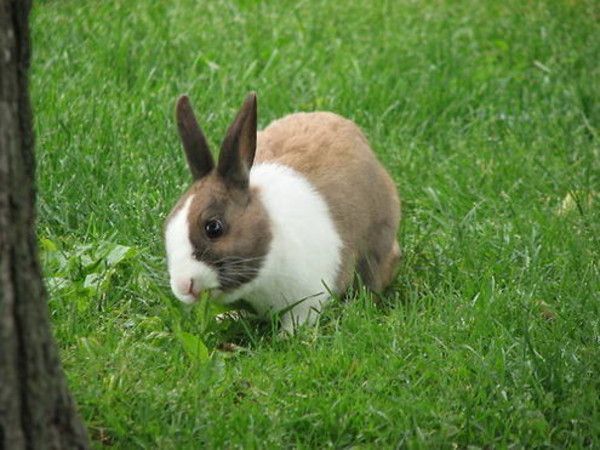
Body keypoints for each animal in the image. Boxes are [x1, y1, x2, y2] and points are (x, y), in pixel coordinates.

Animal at [164, 93, 400, 332]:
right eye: (167, 226)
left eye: (213, 228)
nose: (183, 286)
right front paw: (226, 317)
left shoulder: (309, 297)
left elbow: (299, 319)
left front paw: (286, 336)